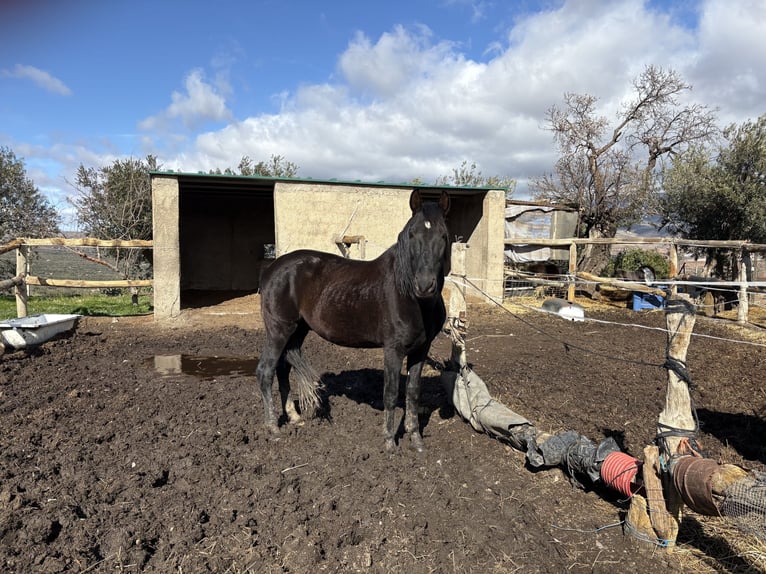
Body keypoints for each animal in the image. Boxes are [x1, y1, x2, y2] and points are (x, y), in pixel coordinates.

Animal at [256, 189, 451, 452]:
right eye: (412, 234)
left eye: (443, 235)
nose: (425, 285)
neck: (410, 297)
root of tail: (271, 269)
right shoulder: (393, 349)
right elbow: (391, 393)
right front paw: (389, 442)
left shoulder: (421, 349)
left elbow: (412, 393)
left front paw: (416, 439)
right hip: (278, 330)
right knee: (265, 371)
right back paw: (273, 428)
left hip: (296, 331)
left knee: (282, 368)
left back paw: (294, 417)